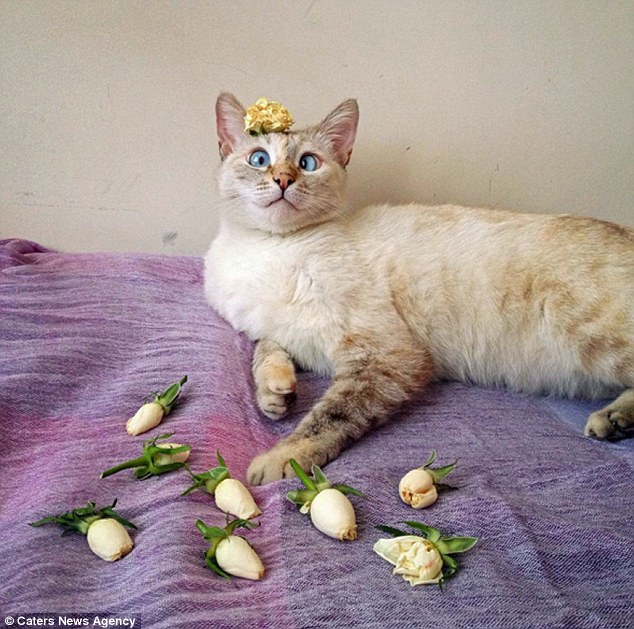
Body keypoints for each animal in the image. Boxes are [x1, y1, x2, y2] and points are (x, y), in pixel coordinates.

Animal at [202, 91, 632, 484]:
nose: (283, 180)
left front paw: (276, 460)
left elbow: (328, 416)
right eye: (259, 159)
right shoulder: (281, 331)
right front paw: (275, 396)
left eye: (308, 163)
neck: (269, 249)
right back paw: (614, 421)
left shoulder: (388, 352)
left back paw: (611, 420)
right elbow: (264, 350)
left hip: (587, 332)